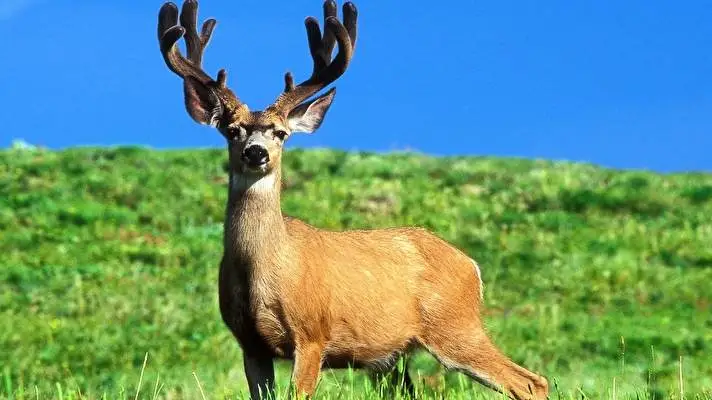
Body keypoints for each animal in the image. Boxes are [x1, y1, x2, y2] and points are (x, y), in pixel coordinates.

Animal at [157, 1, 549, 399]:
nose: (256, 153)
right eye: (232, 131)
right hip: (393, 356)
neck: (264, 268)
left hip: (455, 325)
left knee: (531, 381)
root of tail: (471, 265)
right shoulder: (250, 343)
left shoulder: (312, 333)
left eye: (281, 133)